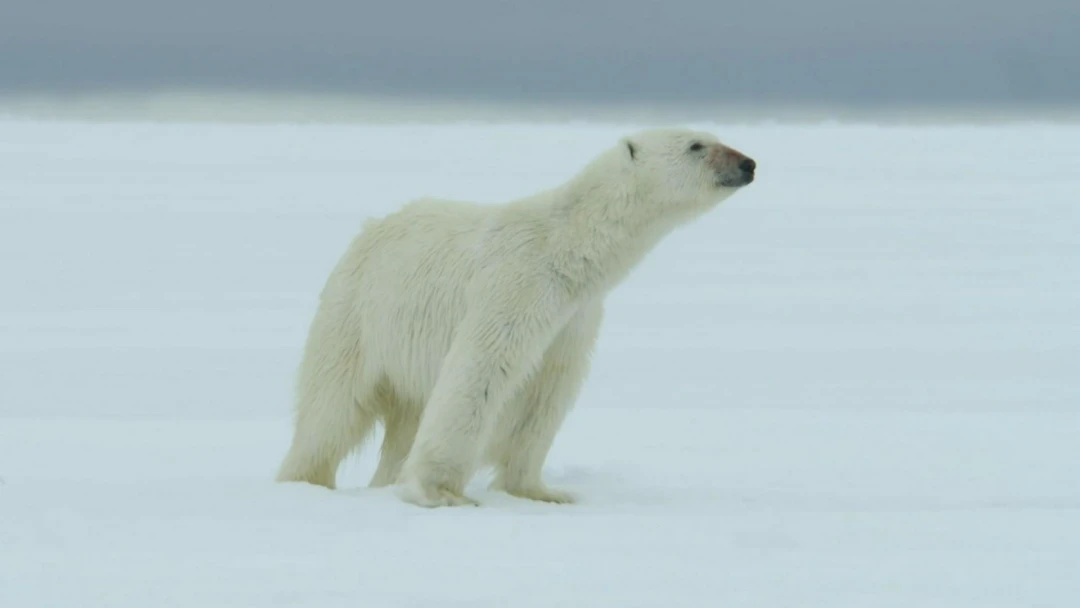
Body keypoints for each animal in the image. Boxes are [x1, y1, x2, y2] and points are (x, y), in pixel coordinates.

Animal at [275, 128, 756, 508]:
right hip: (358, 311)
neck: (567, 251)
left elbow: (546, 393)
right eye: (697, 145)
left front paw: (542, 492)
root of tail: (368, 230)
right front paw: (440, 492)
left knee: (404, 419)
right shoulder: (516, 284)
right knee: (332, 407)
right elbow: (481, 371)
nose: (748, 163)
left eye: (714, 137)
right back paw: (304, 480)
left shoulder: (574, 316)